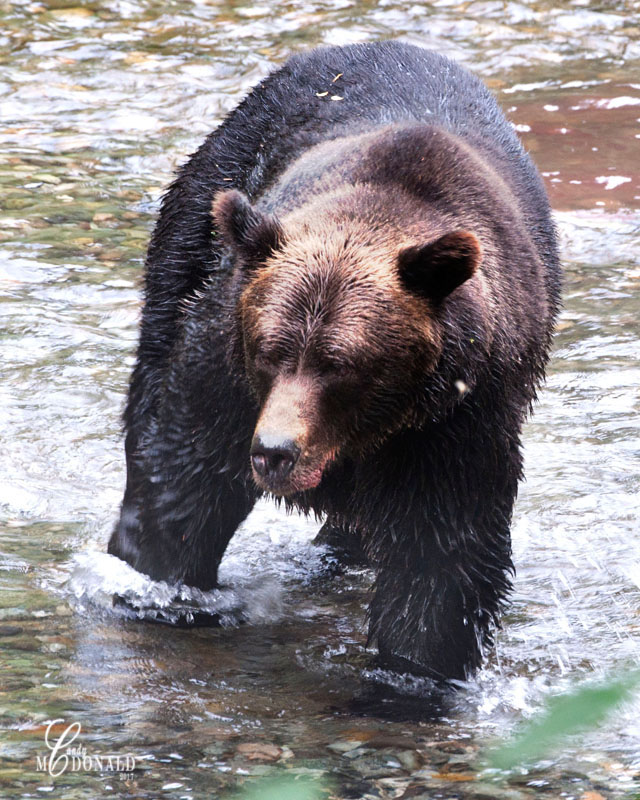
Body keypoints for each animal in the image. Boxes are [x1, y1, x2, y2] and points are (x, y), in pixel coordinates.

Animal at [108, 41, 560, 683]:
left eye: (341, 363)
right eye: (269, 350)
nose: (273, 452)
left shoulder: (456, 422)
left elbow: (443, 558)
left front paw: (410, 674)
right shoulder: (224, 369)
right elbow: (182, 479)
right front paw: (162, 592)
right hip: (199, 223)